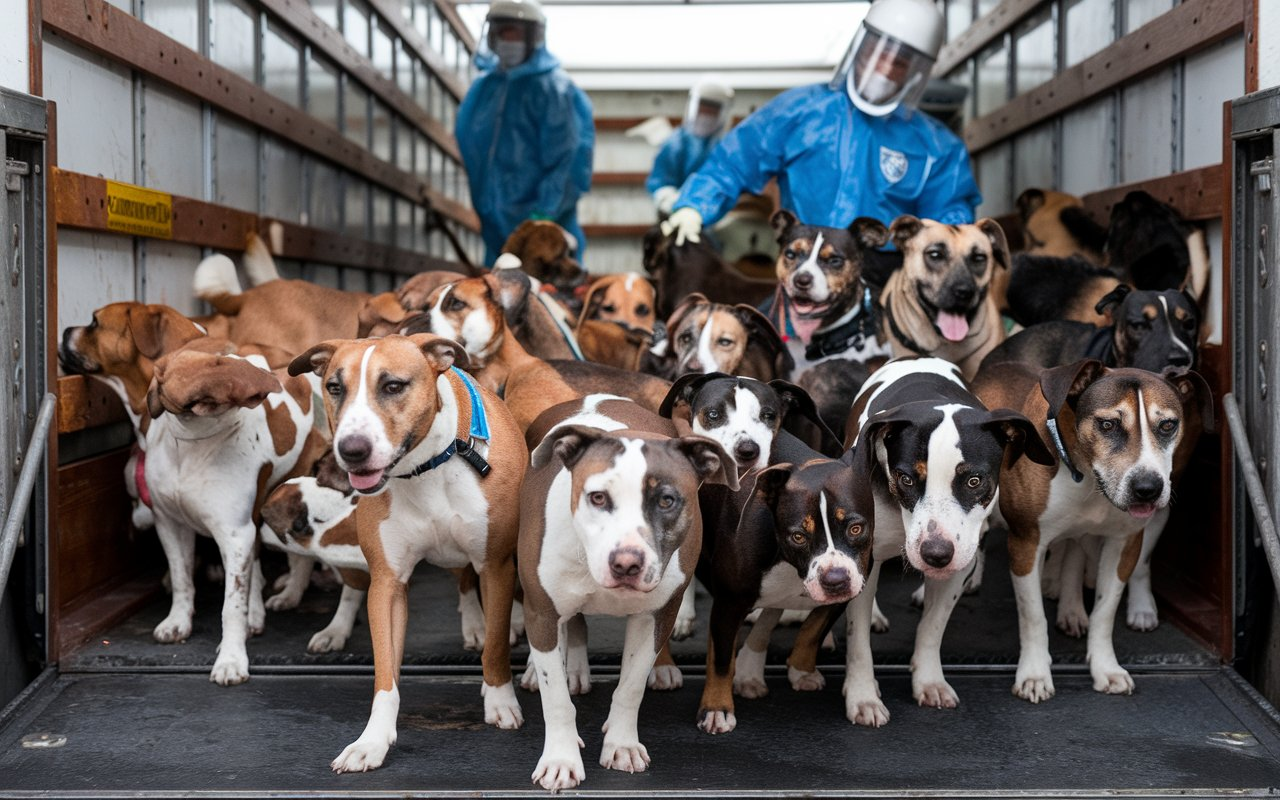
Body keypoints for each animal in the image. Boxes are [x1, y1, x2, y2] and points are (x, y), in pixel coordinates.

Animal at [290, 332, 524, 773]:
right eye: (334, 387)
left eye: (393, 386)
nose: (352, 450)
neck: (426, 468)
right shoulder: (387, 582)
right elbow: (386, 675)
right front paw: (372, 740)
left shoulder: (496, 565)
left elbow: (496, 645)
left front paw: (500, 698)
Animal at [519, 394, 742, 788]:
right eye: (597, 497)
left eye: (667, 500)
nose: (626, 563)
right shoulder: (542, 612)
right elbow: (556, 697)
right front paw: (561, 759)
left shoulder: (656, 615)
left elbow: (631, 686)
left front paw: (621, 745)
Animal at [834, 358, 1054, 721]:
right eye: (906, 479)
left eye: (974, 481)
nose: (936, 553)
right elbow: (858, 639)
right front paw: (863, 696)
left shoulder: (959, 564)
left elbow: (932, 627)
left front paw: (929, 681)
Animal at [972, 358, 1213, 701]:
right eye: (1107, 425)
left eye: (1168, 425)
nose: (1148, 488)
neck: (1086, 475)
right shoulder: (1026, 543)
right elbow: (1033, 616)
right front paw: (1034, 674)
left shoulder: (1124, 544)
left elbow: (1105, 610)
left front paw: (1105, 668)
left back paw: (1071, 609)